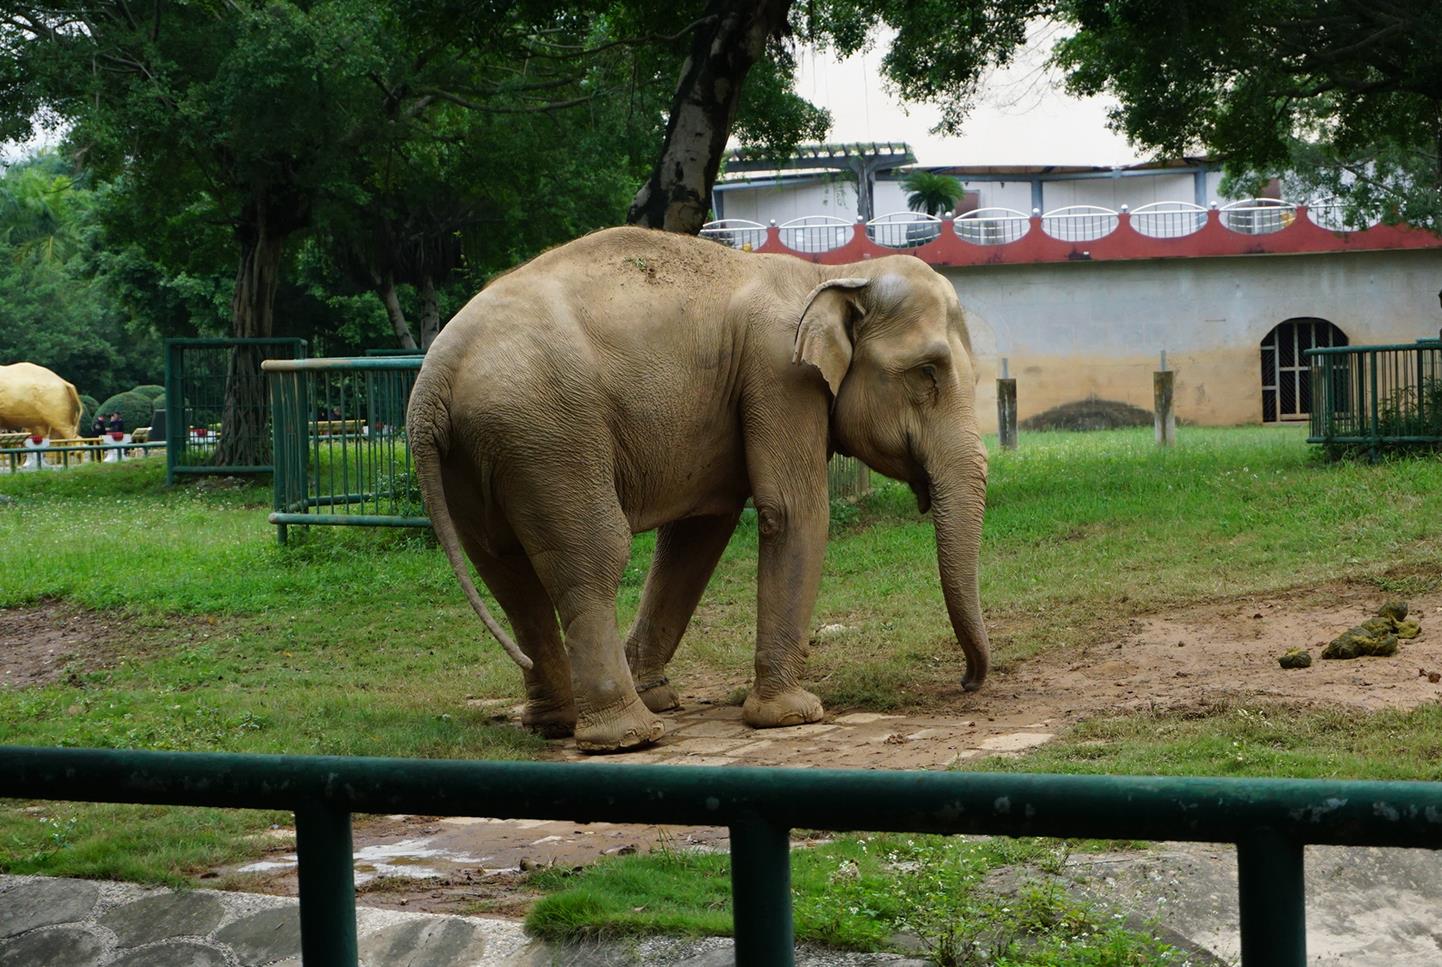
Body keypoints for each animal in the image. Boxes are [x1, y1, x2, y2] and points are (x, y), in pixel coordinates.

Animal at [408, 226, 990, 752]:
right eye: (927, 373)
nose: (966, 682)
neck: (832, 275)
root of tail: (434, 374)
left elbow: (699, 532)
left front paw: (662, 695)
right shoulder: (779, 374)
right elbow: (793, 511)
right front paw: (791, 716)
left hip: (480, 453)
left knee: (504, 569)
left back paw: (557, 723)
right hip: (550, 435)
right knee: (590, 556)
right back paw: (630, 737)